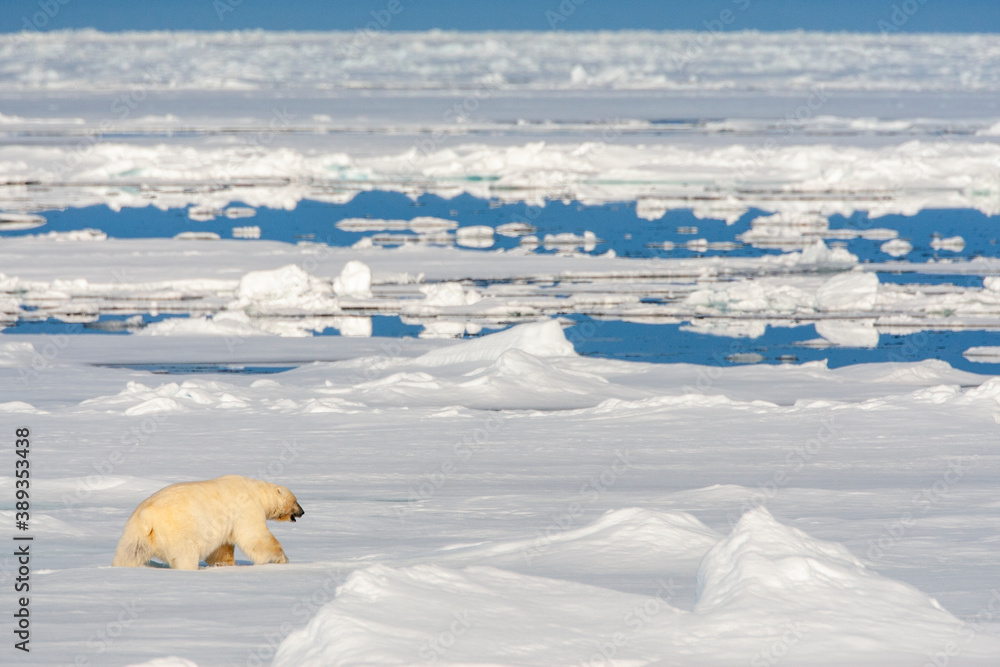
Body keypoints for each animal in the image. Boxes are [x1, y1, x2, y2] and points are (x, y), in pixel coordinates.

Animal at [112, 474, 302, 568]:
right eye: (295, 500)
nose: (302, 512)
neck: (256, 490)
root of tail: (147, 516)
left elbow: (222, 547)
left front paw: (224, 564)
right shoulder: (247, 509)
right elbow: (255, 536)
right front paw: (282, 559)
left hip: (134, 532)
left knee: (130, 553)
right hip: (178, 530)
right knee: (185, 555)